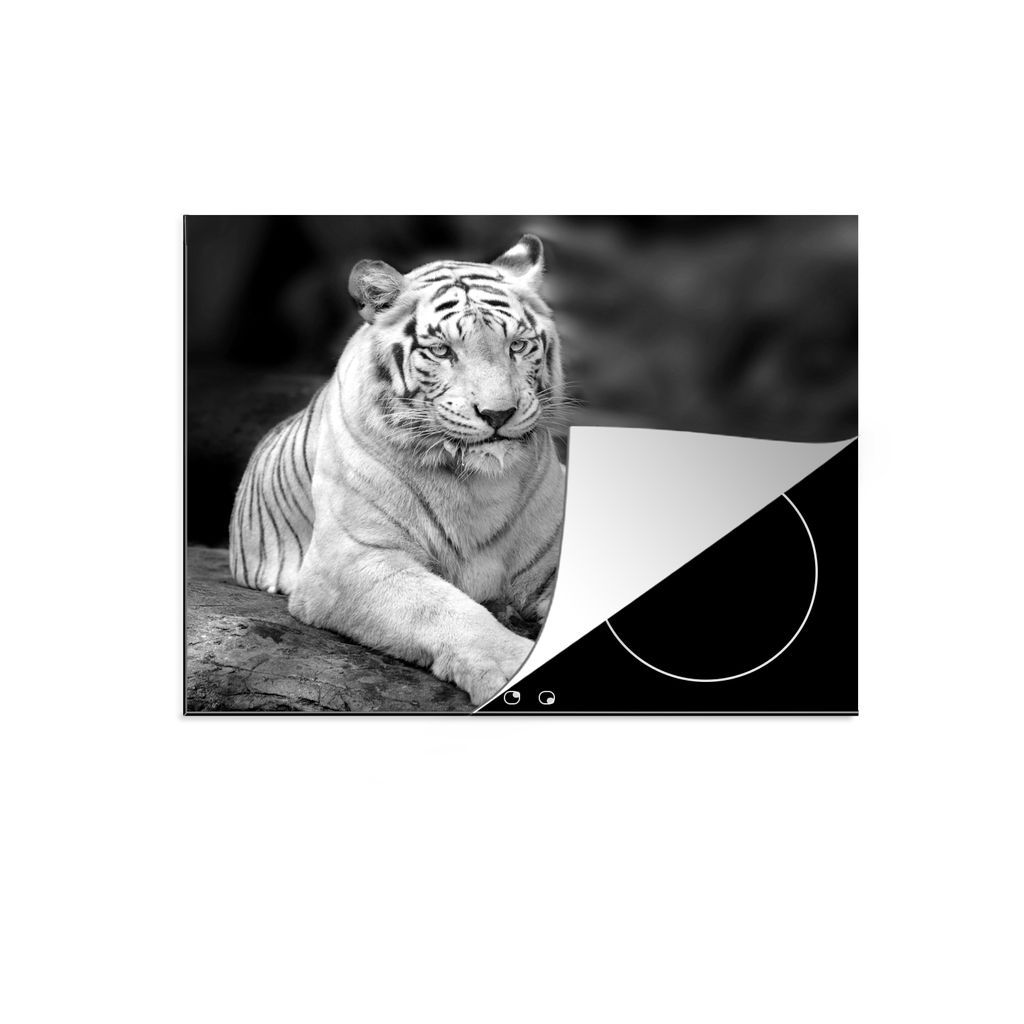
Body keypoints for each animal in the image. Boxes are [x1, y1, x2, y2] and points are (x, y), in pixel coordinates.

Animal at [228, 235, 565, 706]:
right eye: (442, 350)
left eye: (517, 345)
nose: (498, 414)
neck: (479, 485)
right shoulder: (353, 559)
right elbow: (440, 608)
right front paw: (510, 664)